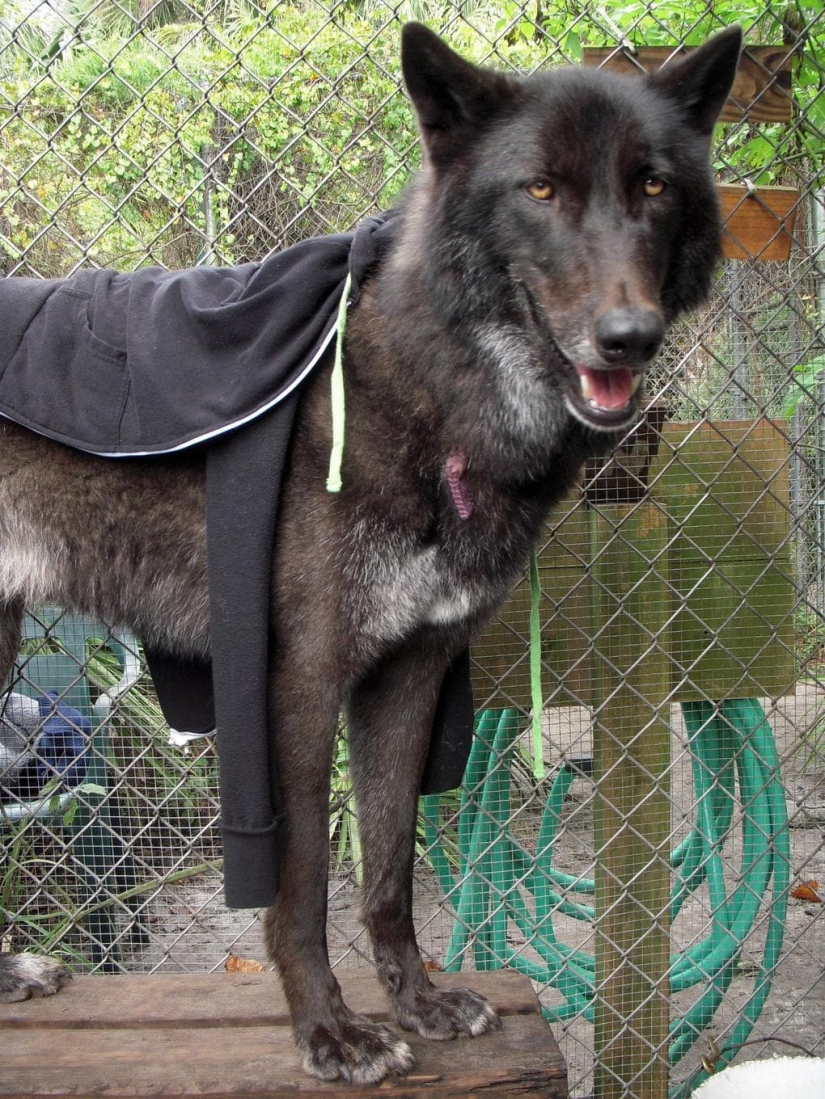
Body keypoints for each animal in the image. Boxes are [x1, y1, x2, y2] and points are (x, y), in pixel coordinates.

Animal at [0, 22, 741, 1084]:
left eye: (653, 185)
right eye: (540, 189)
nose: (629, 337)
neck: (434, 386)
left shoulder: (410, 673)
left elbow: (388, 863)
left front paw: (418, 1001)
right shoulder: (299, 682)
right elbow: (306, 881)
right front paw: (330, 1030)